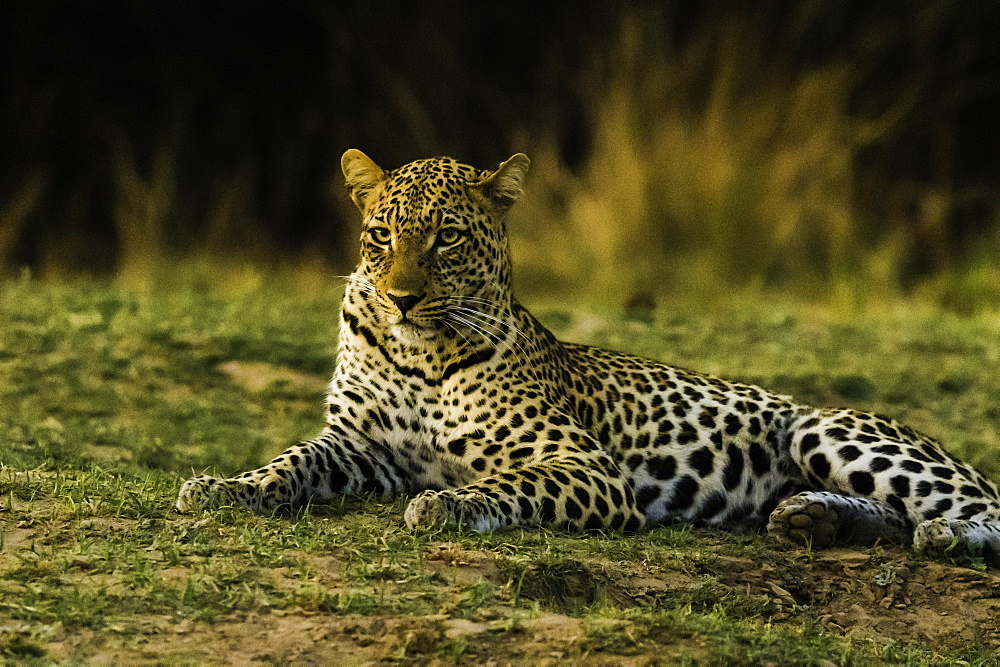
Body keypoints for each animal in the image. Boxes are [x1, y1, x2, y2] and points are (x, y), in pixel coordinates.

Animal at [174, 150, 1000, 564]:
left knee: (968, 504)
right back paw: (810, 520)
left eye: (447, 237)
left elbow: (511, 484)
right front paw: (221, 487)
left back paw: (940, 534)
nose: (402, 298)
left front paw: (450, 503)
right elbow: (289, 461)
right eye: (382, 234)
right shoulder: (359, 443)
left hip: (823, 427)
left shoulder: (583, 464)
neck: (423, 355)